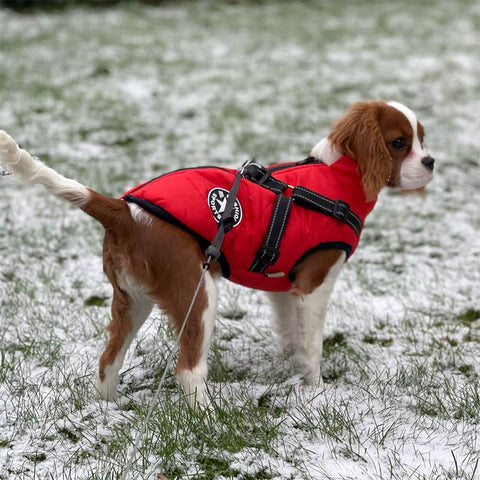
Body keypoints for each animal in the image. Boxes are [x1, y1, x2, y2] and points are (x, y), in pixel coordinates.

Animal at [0, 100, 436, 404]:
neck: (336, 179)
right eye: (399, 143)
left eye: (422, 139)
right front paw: (315, 390)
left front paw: (290, 370)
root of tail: (123, 210)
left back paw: (109, 410)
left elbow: (291, 335)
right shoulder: (315, 284)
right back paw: (209, 418)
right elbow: (312, 344)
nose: (431, 162)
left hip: (133, 301)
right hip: (199, 293)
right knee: (188, 370)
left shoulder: (284, 287)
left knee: (108, 360)